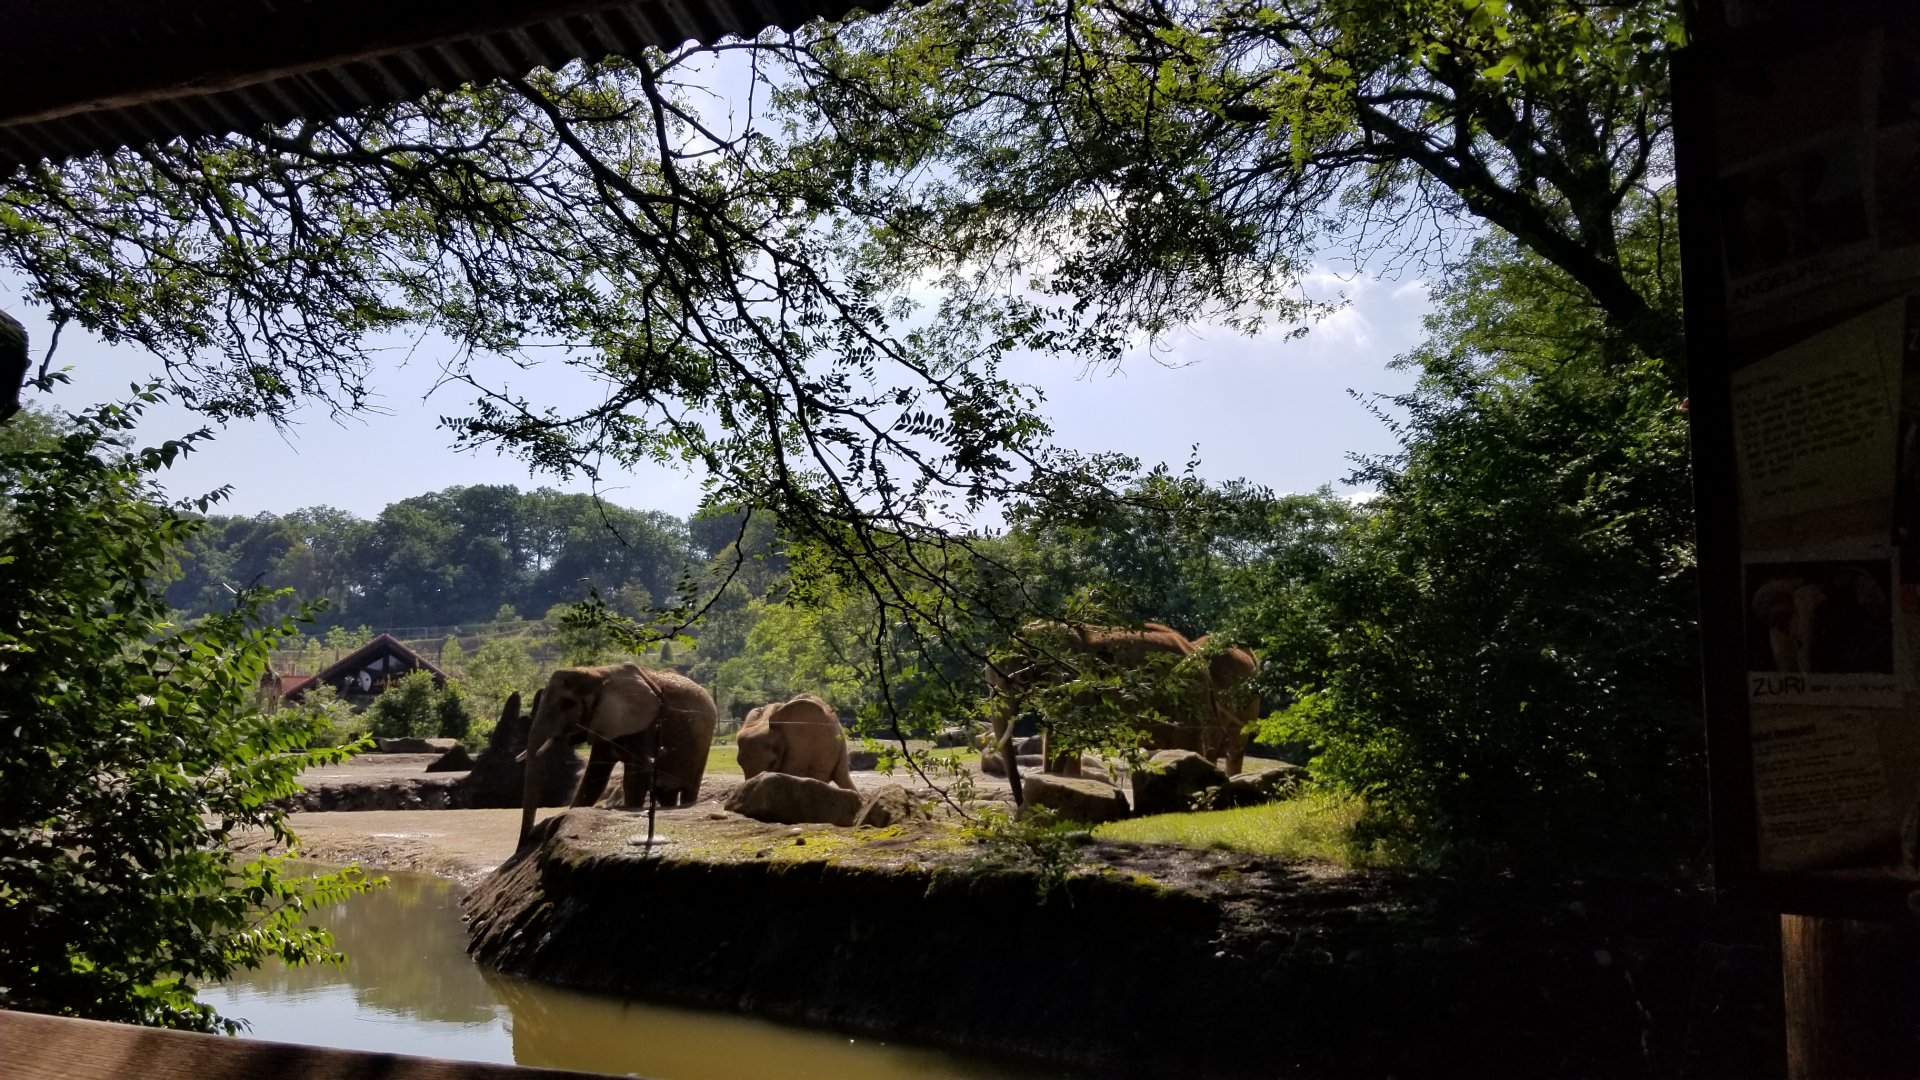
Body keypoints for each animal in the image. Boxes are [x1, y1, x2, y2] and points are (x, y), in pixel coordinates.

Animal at [516, 663, 719, 847]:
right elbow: (594, 778)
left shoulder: (648, 723)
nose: (531, 836)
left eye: (568, 704)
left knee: (689, 788)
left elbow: (634, 778)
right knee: (665, 793)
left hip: (702, 746)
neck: (599, 673)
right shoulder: (604, 721)